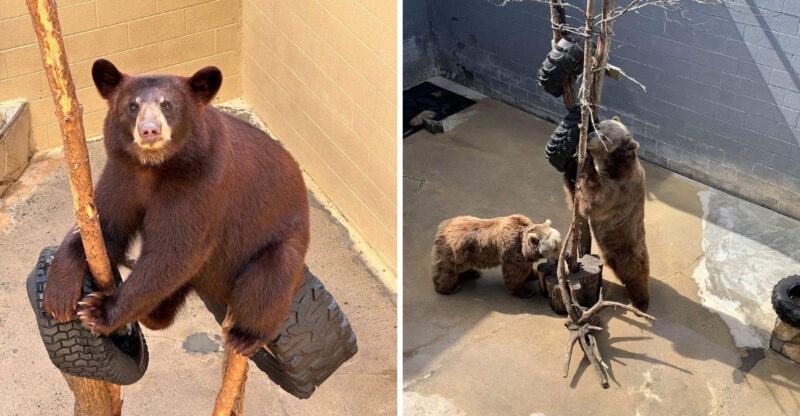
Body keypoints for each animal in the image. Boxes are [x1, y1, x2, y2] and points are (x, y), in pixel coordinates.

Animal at [43, 59, 310, 356]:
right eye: (132, 105)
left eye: (167, 105)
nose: (149, 130)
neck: (154, 167)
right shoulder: (122, 174)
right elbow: (103, 223)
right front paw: (58, 296)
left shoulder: (198, 186)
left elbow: (175, 250)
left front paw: (99, 310)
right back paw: (154, 313)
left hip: (280, 237)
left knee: (270, 282)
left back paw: (246, 336)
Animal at [431, 215, 562, 297]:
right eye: (555, 248)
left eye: (560, 243)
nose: (559, 258)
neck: (524, 246)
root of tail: (442, 227)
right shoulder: (513, 251)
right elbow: (515, 274)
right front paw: (526, 291)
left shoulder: (523, 255)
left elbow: (527, 268)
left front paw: (533, 274)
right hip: (454, 252)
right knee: (447, 270)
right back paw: (449, 288)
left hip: (466, 255)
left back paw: (472, 273)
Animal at [564, 116, 650, 311]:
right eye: (598, 126)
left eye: (604, 137)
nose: (588, 137)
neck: (615, 166)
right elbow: (575, 195)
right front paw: (571, 160)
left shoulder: (619, 189)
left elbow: (593, 201)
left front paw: (585, 160)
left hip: (628, 249)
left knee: (635, 276)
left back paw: (641, 303)